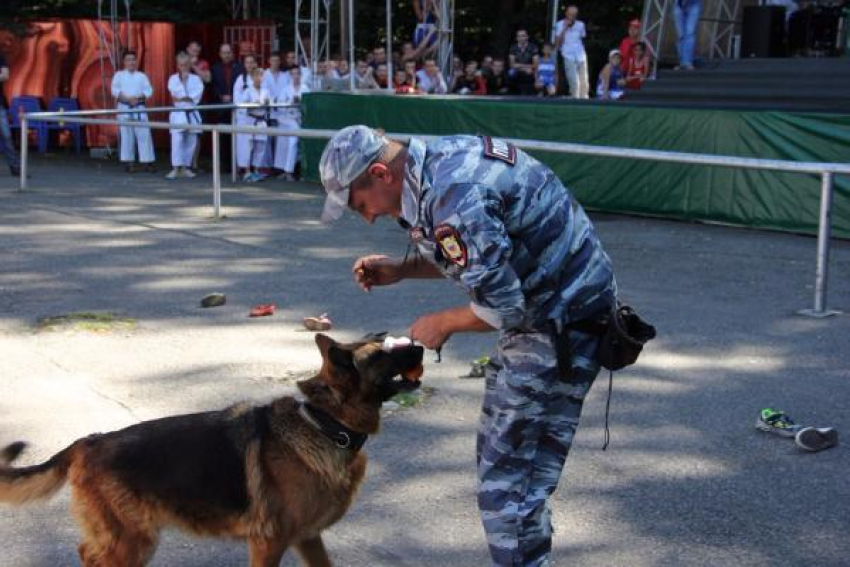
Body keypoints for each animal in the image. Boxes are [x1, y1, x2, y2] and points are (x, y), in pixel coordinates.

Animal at [0, 336, 424, 564]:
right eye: (381, 355)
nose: (420, 346)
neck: (326, 425)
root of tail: (88, 441)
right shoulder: (269, 543)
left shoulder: (308, 539)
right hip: (133, 541)